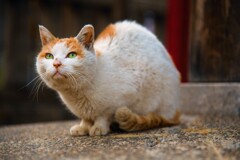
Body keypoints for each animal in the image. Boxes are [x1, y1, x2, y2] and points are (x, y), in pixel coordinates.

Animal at [36, 20, 180, 136]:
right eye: (49, 56)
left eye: (71, 55)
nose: (56, 63)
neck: (77, 93)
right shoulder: (84, 112)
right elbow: (86, 119)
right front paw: (83, 128)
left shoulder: (124, 96)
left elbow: (103, 116)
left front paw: (99, 128)